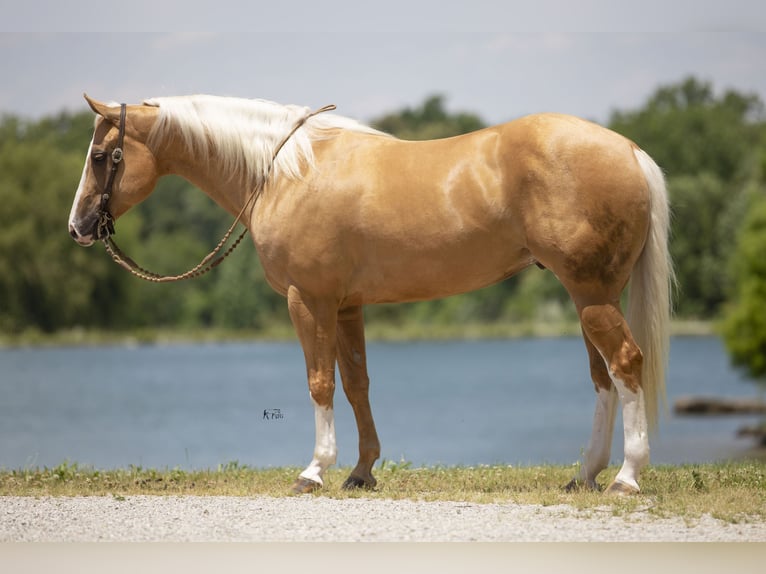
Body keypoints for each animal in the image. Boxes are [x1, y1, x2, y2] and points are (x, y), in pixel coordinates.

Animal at [69, 94, 676, 496]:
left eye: (101, 155)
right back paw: (585, 475)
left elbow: (319, 383)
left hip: (591, 294)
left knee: (626, 364)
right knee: (603, 378)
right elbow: (356, 384)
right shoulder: (346, 306)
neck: (287, 171)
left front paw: (314, 471)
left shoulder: (308, 300)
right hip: (586, 296)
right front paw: (361, 472)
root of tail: (629, 150)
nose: (78, 228)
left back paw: (626, 478)